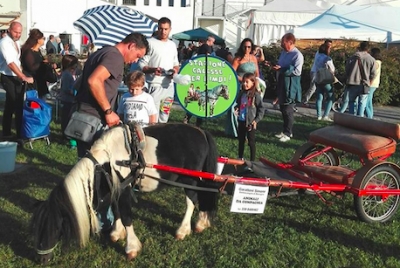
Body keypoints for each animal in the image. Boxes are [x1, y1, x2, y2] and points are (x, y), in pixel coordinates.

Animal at [30, 123, 219, 264]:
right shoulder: (115, 188)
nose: (41, 259)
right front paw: (116, 232)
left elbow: (127, 216)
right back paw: (201, 222)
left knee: (191, 201)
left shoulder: (125, 190)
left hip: (189, 180)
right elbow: (116, 210)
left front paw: (131, 248)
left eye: (54, 227)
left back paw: (183, 230)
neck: (107, 162)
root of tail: (201, 132)